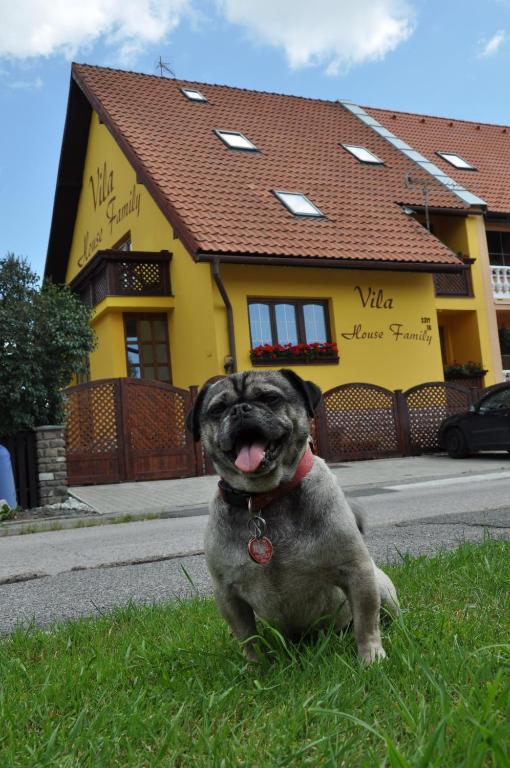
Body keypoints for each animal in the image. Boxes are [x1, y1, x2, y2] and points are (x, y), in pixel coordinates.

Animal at [185, 368, 400, 664]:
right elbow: (247, 638)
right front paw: (255, 667)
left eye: (270, 398)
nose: (240, 409)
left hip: (381, 586)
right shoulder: (228, 595)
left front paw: (371, 657)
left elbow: (367, 622)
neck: (264, 498)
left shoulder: (358, 572)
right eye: (217, 409)